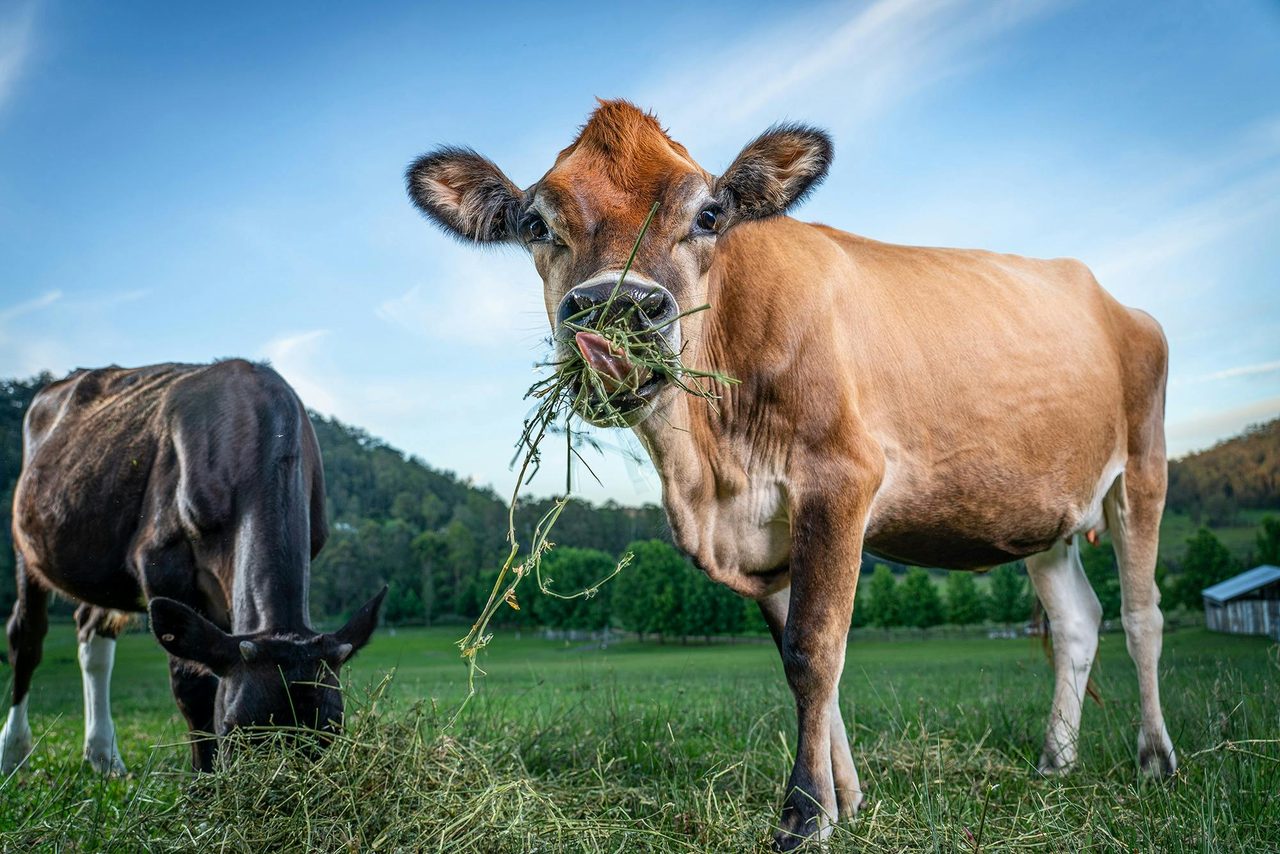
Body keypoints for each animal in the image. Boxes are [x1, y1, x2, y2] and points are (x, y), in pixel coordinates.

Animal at [0, 360, 386, 775]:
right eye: (232, 727)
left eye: (333, 731)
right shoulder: (160, 562)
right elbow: (194, 683)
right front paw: (205, 777)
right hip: (25, 542)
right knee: (27, 636)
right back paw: (13, 751)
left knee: (92, 634)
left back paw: (104, 755)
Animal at [404, 99, 1175, 849]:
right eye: (536, 222)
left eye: (709, 214)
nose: (617, 309)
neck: (706, 473)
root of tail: (1112, 299)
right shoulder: (762, 527)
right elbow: (798, 661)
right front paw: (845, 802)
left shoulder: (839, 481)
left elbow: (815, 651)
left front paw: (803, 813)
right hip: (1043, 514)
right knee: (1078, 621)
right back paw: (1055, 761)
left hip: (1142, 469)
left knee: (1142, 614)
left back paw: (1155, 761)